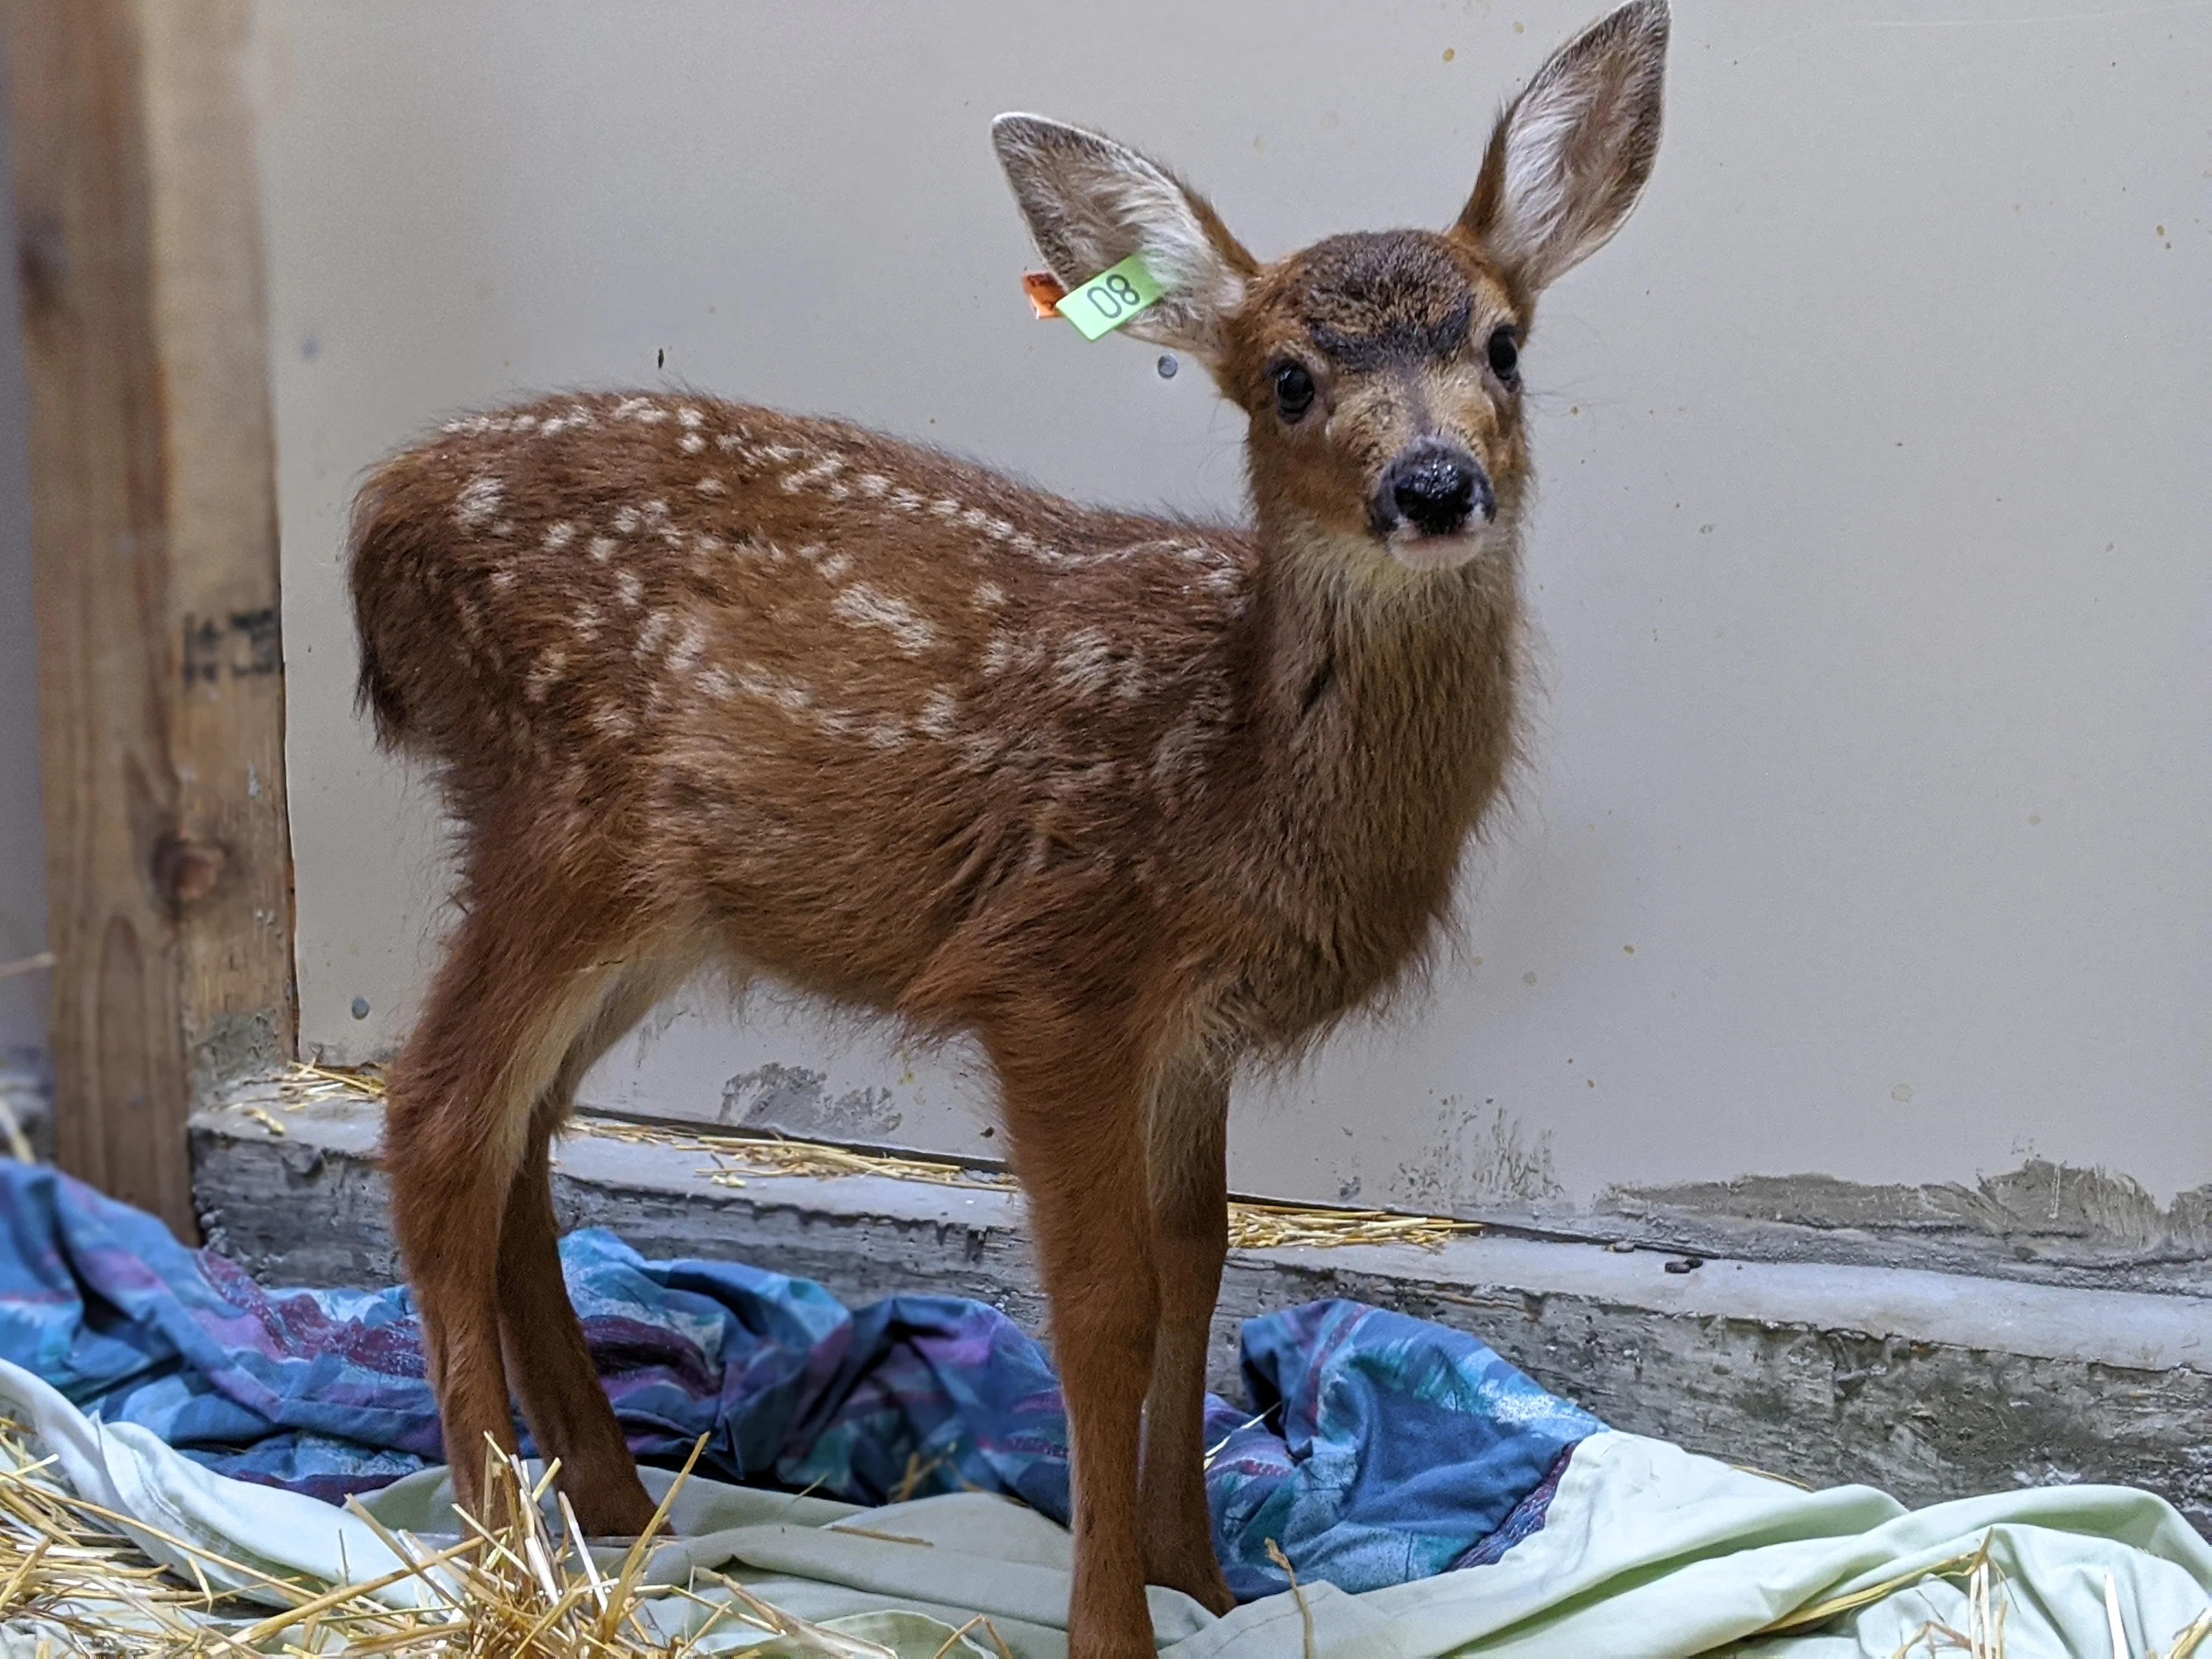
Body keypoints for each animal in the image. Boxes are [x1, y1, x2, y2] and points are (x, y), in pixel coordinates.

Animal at [347, 4, 1667, 1650]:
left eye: (1502, 345)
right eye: (1289, 379)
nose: (1435, 485)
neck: (1235, 764)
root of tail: (374, 528)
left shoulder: (1190, 1027)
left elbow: (1199, 1265)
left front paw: (1203, 1577)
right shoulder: (1056, 975)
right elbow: (1104, 1309)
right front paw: (1114, 1619)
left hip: (649, 908)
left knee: (518, 1138)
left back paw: (609, 1502)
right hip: (560, 821)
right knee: (436, 1120)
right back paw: (495, 1560)